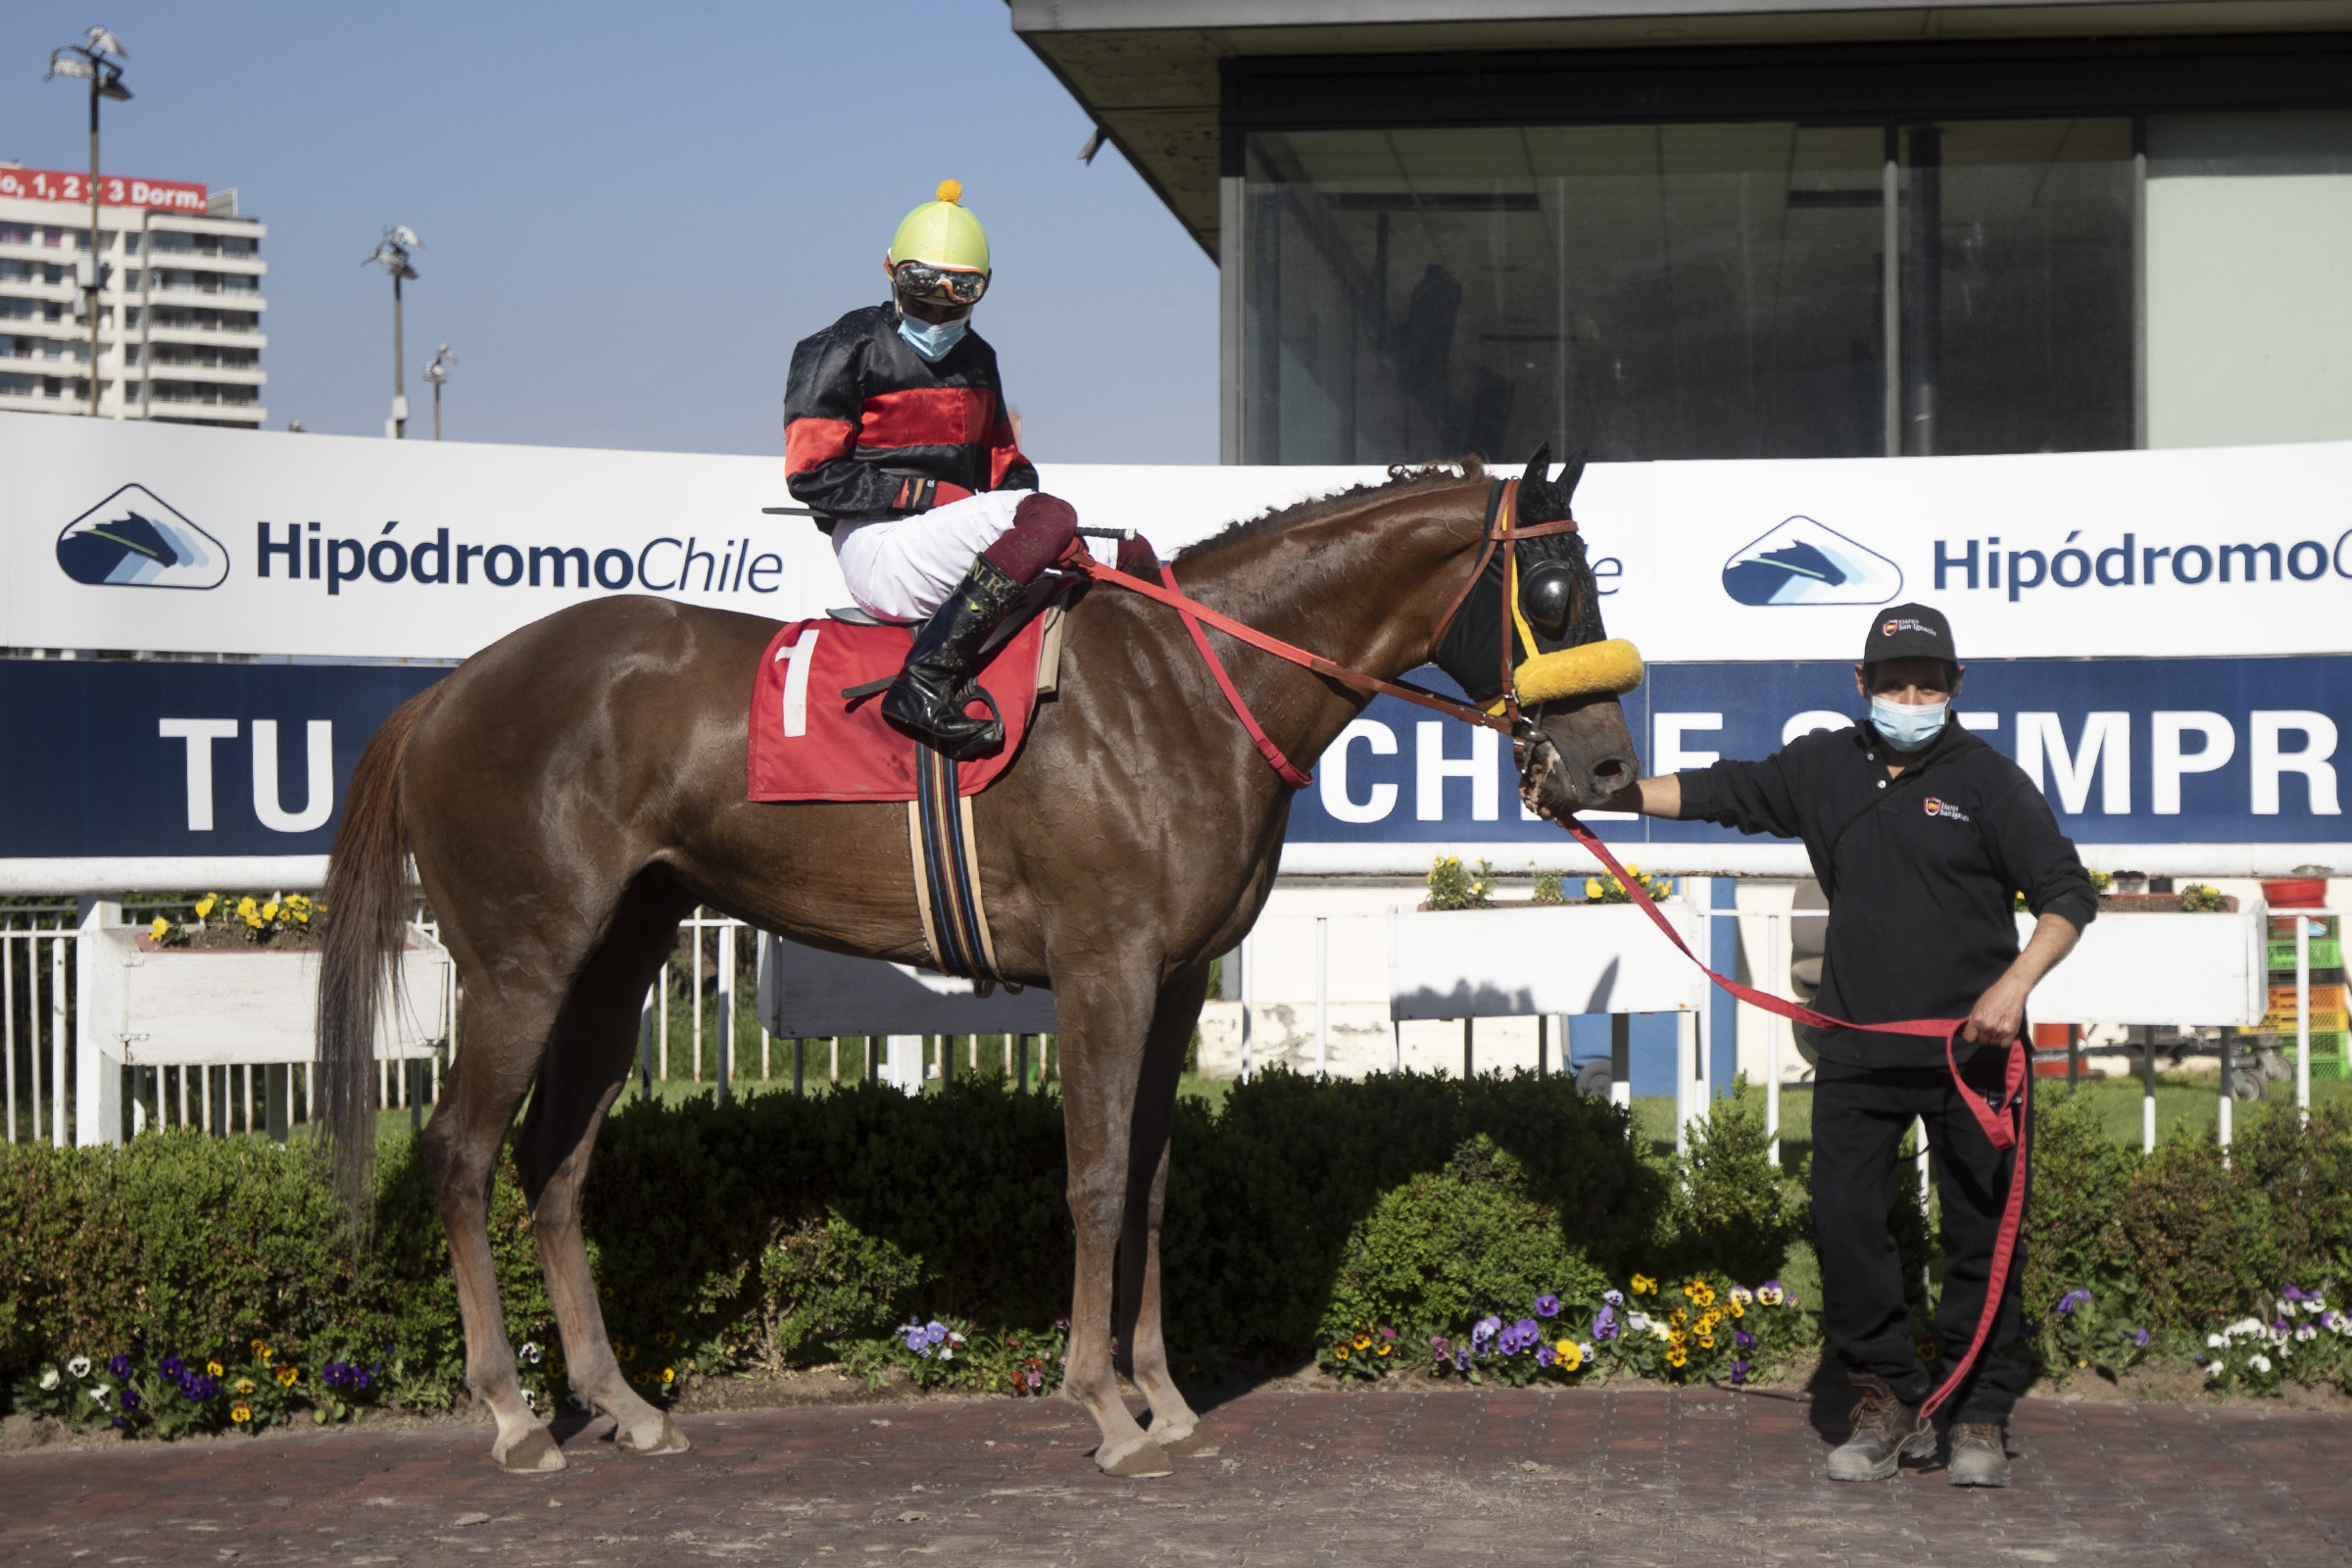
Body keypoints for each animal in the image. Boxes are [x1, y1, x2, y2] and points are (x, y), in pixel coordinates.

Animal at [317, 449, 1640, 1477]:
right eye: (1559, 587)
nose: (1609, 767)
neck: (1185, 689)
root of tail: (446, 691)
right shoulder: (1104, 966)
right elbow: (1096, 1179)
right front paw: (1106, 1405)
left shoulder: (1173, 983)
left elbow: (1152, 1180)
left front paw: (1165, 1397)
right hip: (521, 961)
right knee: (460, 1152)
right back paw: (513, 1413)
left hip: (618, 956)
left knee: (556, 1161)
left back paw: (622, 1404)